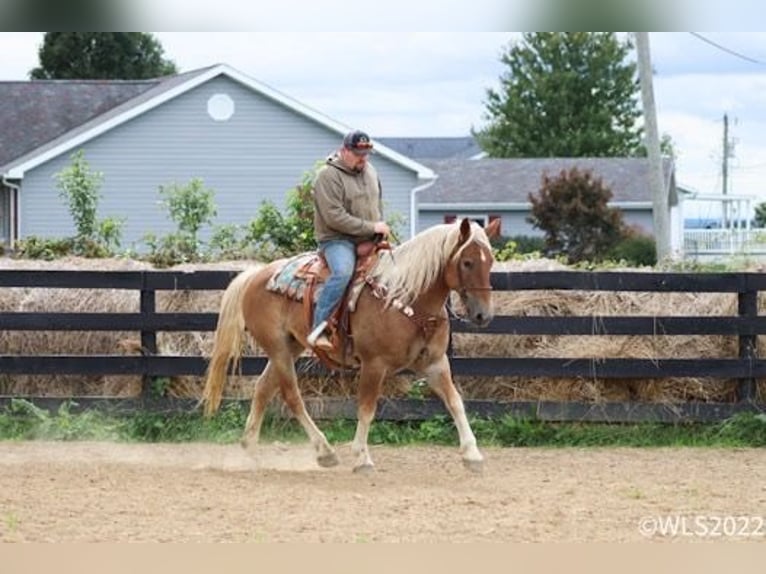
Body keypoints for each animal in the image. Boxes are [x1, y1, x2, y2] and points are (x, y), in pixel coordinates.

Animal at [201, 218, 500, 474]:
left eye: (491, 262)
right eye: (467, 262)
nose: (483, 316)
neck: (406, 297)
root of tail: (254, 275)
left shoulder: (436, 363)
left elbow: (455, 402)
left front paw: (472, 455)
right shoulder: (374, 364)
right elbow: (367, 409)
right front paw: (362, 458)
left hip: (290, 346)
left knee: (263, 388)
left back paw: (250, 448)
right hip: (278, 349)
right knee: (291, 396)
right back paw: (324, 451)